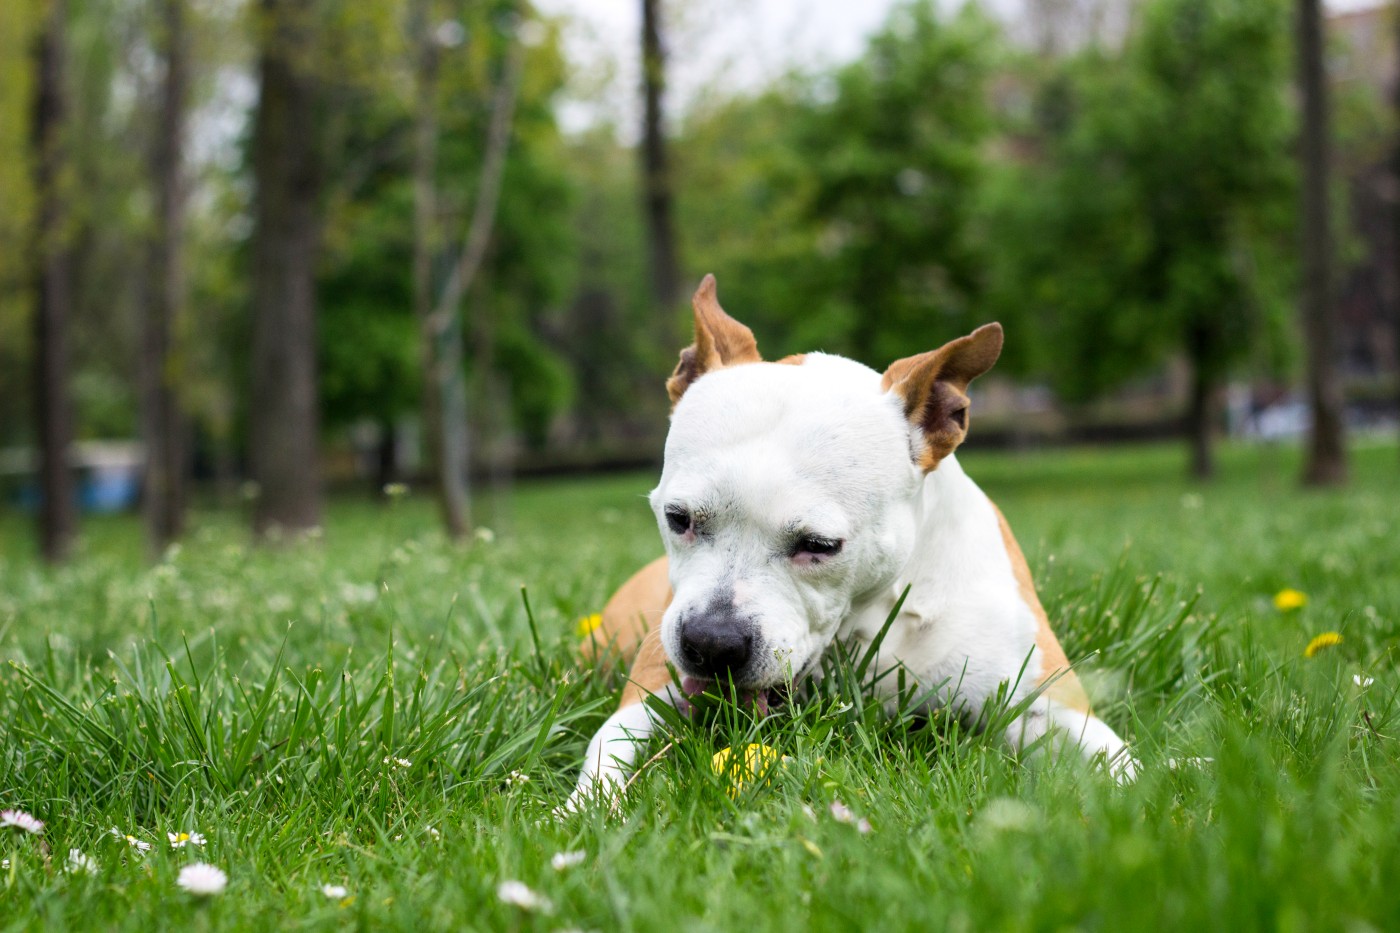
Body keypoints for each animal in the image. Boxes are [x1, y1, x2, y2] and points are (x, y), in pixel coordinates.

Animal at [565, 273, 1125, 801]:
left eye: (819, 546)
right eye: (679, 518)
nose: (710, 643)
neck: (871, 615)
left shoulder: (1051, 708)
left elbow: (1123, 771)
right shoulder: (648, 696)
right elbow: (604, 760)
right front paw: (579, 813)